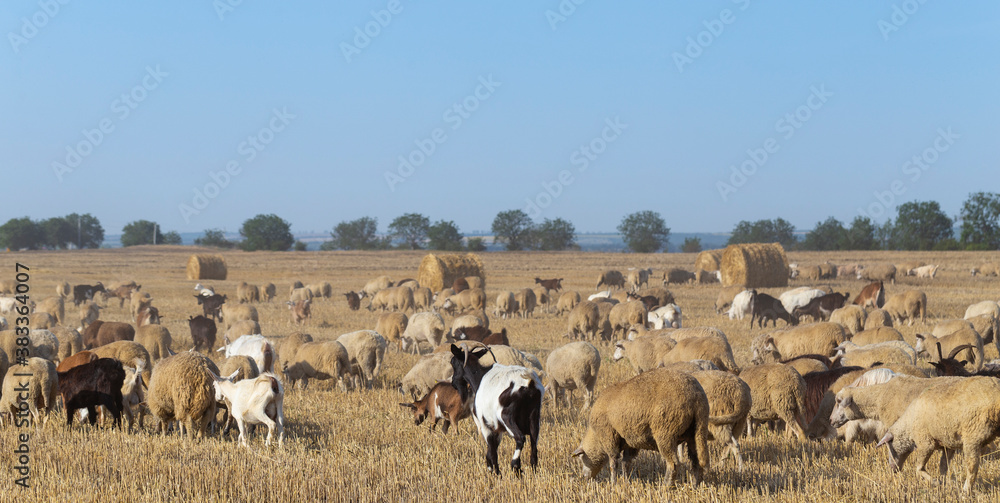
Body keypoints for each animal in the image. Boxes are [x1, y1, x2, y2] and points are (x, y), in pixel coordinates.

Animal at [450, 344, 545, 476]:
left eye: (453, 362)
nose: (453, 382)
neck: (479, 377)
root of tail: (529, 383)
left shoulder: (486, 424)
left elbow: (491, 450)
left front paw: (495, 472)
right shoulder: (498, 429)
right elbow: (493, 449)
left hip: (506, 416)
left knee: (520, 438)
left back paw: (515, 465)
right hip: (534, 415)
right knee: (534, 442)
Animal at [571, 368, 710, 485]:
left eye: (582, 459)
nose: (584, 478)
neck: (596, 437)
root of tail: (696, 396)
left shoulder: (610, 439)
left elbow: (613, 464)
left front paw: (613, 483)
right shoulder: (630, 442)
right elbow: (626, 463)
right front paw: (626, 481)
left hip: (666, 433)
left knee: (673, 463)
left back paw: (666, 486)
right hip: (695, 432)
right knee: (696, 461)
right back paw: (695, 484)